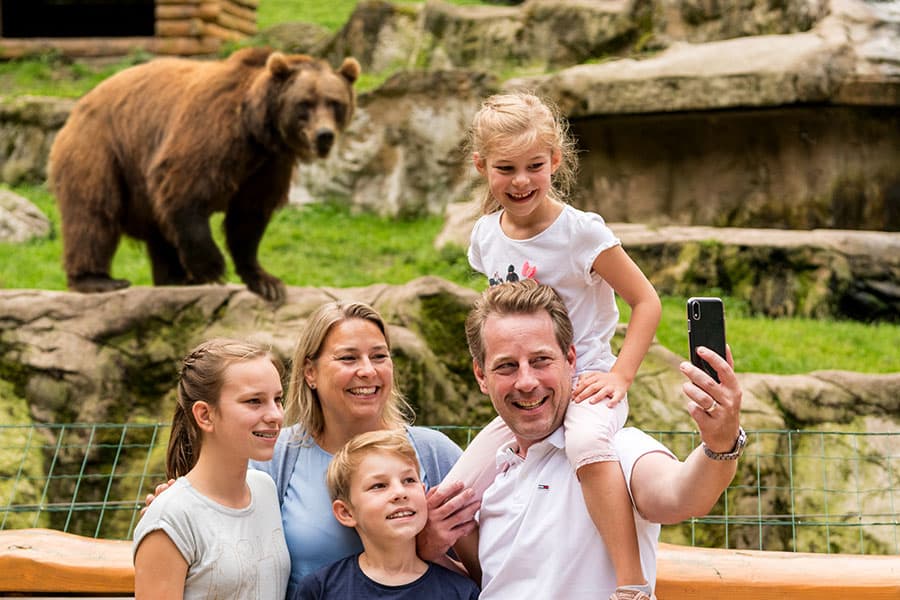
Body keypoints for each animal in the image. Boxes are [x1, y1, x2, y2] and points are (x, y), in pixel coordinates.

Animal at [49, 45, 358, 304]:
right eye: (305, 103)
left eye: (335, 103)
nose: (324, 135)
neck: (257, 130)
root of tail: (79, 105)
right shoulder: (213, 130)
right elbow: (185, 187)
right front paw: (212, 267)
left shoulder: (269, 165)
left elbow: (249, 217)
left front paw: (266, 281)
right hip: (102, 150)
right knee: (93, 212)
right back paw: (98, 279)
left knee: (159, 231)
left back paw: (174, 278)